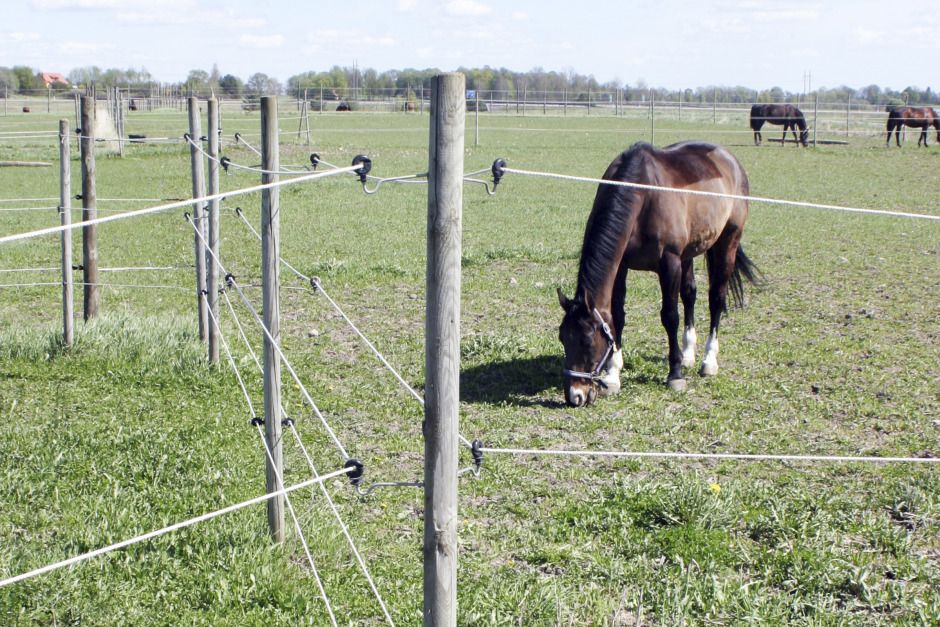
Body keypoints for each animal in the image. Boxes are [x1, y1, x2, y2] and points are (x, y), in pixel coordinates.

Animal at [556, 140, 760, 408]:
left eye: (587, 341)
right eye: (563, 338)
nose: (575, 396)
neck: (643, 195)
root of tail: (729, 159)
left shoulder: (669, 262)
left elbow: (670, 316)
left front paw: (675, 375)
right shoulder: (621, 266)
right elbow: (617, 318)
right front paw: (613, 375)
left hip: (728, 242)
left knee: (716, 298)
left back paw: (708, 361)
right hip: (688, 253)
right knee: (690, 295)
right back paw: (688, 354)